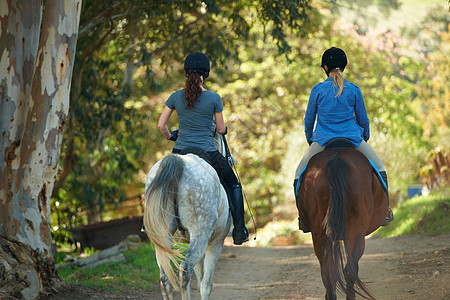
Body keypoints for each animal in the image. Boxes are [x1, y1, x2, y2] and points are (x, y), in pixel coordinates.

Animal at [143, 154, 230, 298]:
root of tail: (178, 160)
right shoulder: (216, 244)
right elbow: (206, 285)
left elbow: (200, 279)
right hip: (201, 235)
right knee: (185, 269)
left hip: (163, 238)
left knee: (165, 277)